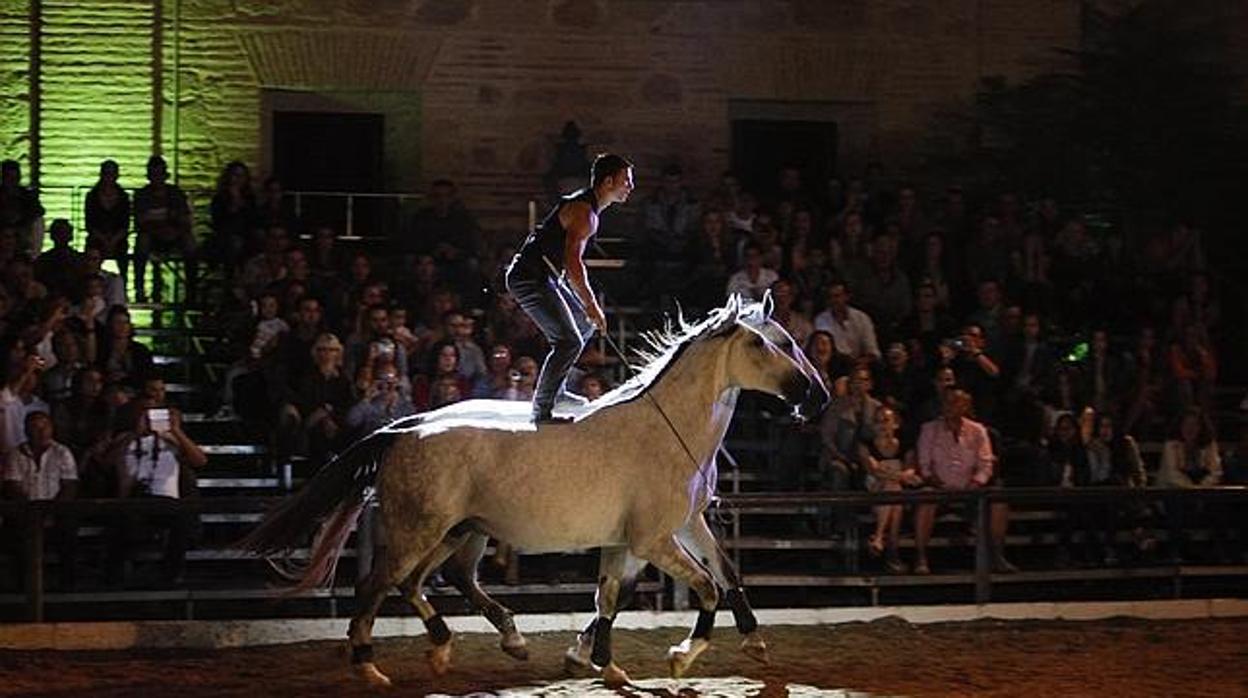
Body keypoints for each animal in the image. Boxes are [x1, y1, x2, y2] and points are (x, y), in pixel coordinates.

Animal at [238, 295, 823, 689]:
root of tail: (403, 429)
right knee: (378, 586)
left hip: (459, 532)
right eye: (762, 342)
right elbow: (704, 588)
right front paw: (679, 655)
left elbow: (669, 585)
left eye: (789, 339)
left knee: (426, 582)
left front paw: (606, 662)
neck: (668, 428)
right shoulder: (653, 539)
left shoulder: (670, 527)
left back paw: (465, 648)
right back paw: (372, 668)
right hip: (416, 530)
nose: (815, 397)